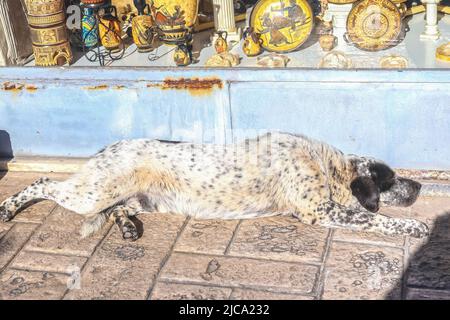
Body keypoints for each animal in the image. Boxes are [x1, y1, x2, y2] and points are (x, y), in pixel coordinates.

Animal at [0, 132, 428, 240]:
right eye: (390, 180)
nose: (421, 187)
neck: (326, 166)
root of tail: (109, 147)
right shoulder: (319, 211)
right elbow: (377, 218)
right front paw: (414, 226)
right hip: (91, 192)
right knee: (41, 182)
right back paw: (7, 208)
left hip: (142, 201)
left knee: (120, 209)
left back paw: (126, 228)